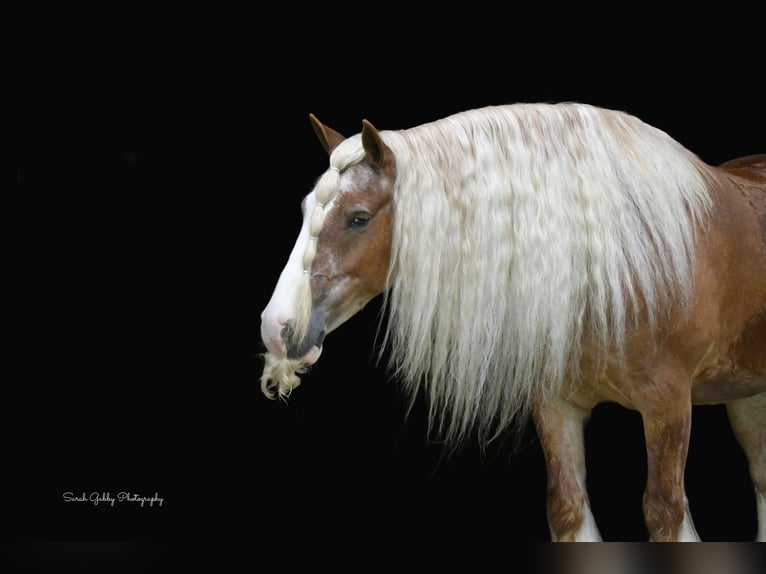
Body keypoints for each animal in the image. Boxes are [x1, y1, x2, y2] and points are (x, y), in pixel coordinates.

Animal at [258, 102, 766, 542]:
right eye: (305, 211)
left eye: (359, 218)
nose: (276, 328)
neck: (617, 260)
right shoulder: (556, 407)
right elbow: (567, 507)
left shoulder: (669, 406)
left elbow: (664, 511)